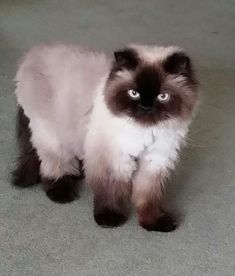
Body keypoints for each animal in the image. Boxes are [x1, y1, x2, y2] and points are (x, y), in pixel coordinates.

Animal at [13, 43, 198, 231]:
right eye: (133, 93)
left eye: (162, 96)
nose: (146, 107)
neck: (144, 131)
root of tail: (34, 52)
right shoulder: (113, 158)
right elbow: (110, 190)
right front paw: (110, 219)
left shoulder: (155, 160)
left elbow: (148, 196)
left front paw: (153, 223)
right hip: (52, 135)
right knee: (55, 165)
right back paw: (62, 193)